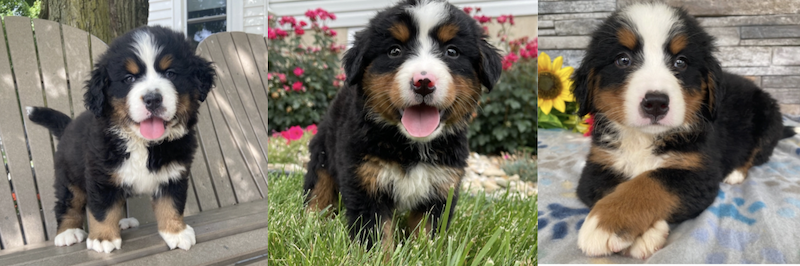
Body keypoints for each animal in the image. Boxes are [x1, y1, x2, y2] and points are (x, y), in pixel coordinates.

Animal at [28, 25, 216, 254]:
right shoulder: (100, 176)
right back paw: (68, 232)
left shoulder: (173, 173)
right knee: (68, 203)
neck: (143, 143)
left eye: (170, 73)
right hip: (69, 177)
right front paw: (103, 238)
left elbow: (171, 204)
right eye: (129, 79)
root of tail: (68, 126)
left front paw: (176, 232)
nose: (153, 99)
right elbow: (103, 209)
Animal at [304, 0, 500, 249]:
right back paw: (312, 222)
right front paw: (377, 255)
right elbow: (376, 235)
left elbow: (426, 234)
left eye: (452, 52)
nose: (423, 82)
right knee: (318, 188)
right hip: (322, 153)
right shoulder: (366, 181)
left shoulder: (441, 188)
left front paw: (424, 251)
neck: (413, 147)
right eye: (394, 51)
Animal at [572, 2, 796, 260]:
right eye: (623, 60)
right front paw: (638, 230)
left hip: (768, 116)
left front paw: (606, 224)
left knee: (757, 153)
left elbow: (650, 182)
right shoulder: (598, 165)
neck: (645, 138)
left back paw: (735, 173)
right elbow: (616, 186)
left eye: (681, 62)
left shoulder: (700, 172)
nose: (656, 103)